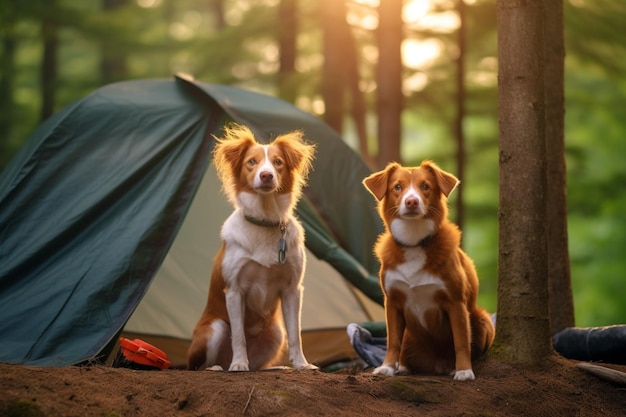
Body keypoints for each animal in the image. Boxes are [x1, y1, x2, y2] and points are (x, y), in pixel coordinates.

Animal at [183, 123, 314, 370]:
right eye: (251, 162)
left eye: (278, 162)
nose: (266, 175)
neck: (265, 221)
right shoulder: (235, 290)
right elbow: (238, 335)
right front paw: (238, 365)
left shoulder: (292, 289)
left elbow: (296, 334)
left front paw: (302, 364)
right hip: (214, 328)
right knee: (199, 366)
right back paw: (221, 367)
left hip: (276, 332)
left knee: (260, 365)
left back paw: (274, 367)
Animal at [360, 160, 492, 380]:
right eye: (397, 186)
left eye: (425, 186)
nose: (411, 201)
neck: (414, 243)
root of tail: (436, 366)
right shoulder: (392, 302)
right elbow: (392, 341)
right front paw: (387, 367)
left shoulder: (456, 302)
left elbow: (461, 341)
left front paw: (464, 371)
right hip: (409, 335)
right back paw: (404, 367)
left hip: (481, 318)